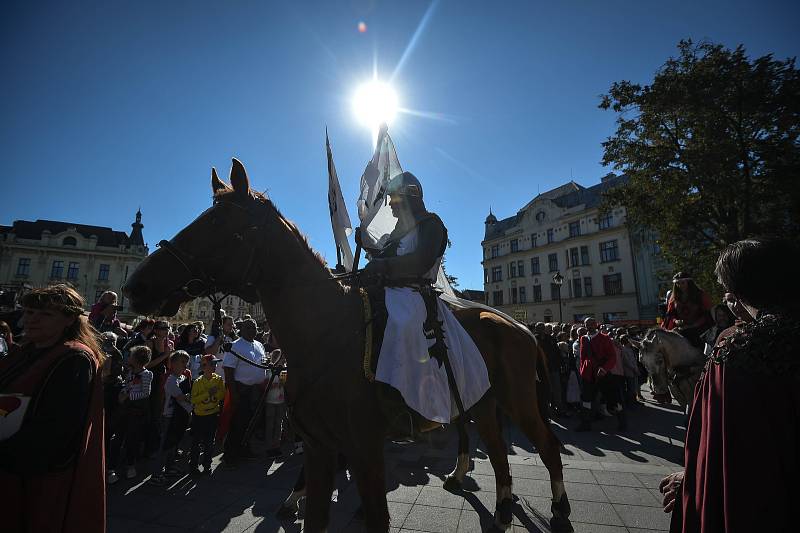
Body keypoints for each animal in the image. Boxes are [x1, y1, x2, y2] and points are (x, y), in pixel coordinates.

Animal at [122, 159, 572, 532]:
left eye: (221, 225)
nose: (136, 286)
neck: (326, 333)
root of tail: (522, 328)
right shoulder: (319, 447)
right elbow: (315, 515)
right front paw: (294, 501)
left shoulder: (366, 451)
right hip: (480, 403)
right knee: (495, 451)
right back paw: (499, 506)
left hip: (517, 400)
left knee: (546, 446)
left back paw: (557, 507)